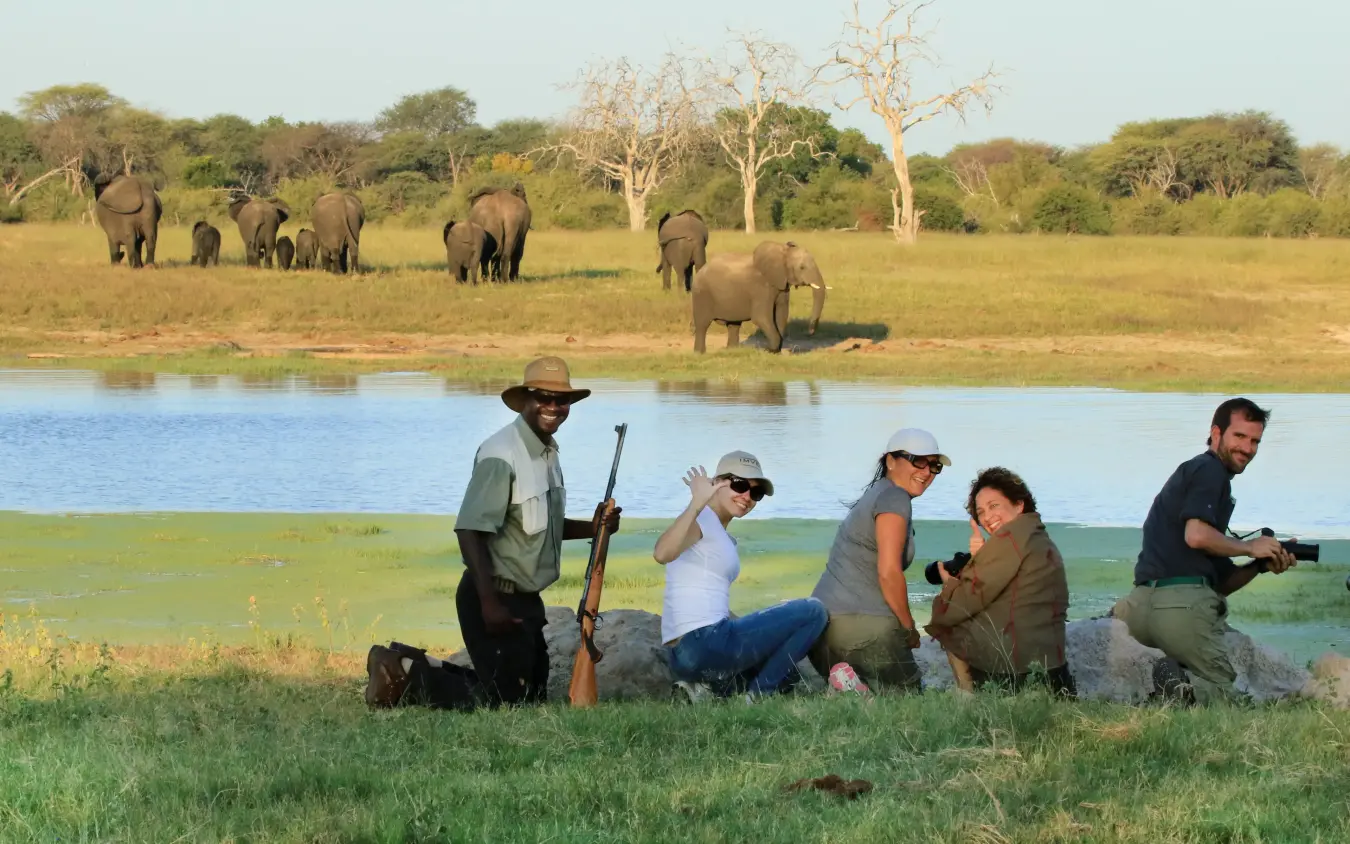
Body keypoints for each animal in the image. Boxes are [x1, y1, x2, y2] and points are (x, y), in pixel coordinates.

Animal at [690, 240, 827, 354]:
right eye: (802, 267)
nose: (809, 332)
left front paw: (775, 352)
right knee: (702, 324)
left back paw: (731, 351)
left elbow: (781, 315)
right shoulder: (760, 288)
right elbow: (761, 317)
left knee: (734, 325)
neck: (782, 251)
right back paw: (699, 353)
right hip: (701, 294)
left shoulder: (782, 286)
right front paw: (769, 350)